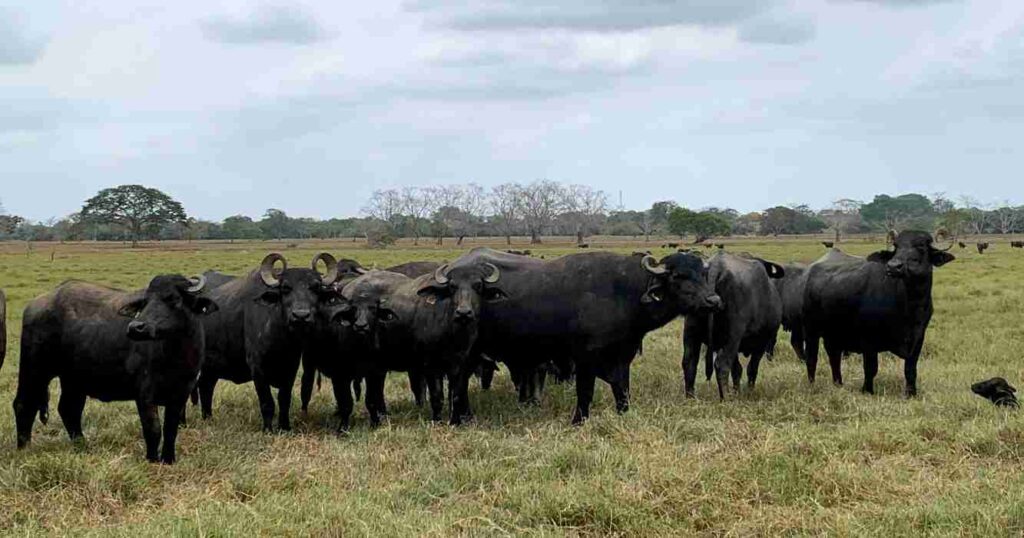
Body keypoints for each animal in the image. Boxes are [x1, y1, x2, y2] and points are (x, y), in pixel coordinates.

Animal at [11, 272, 216, 461]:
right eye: (145, 302)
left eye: (173, 299)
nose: (136, 327)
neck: (175, 355)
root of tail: (37, 304)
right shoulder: (144, 393)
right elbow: (153, 429)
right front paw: (152, 459)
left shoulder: (182, 392)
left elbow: (171, 429)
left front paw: (168, 459)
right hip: (35, 369)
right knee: (24, 404)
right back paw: (24, 449)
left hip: (73, 379)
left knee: (69, 409)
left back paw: (82, 446)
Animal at [196, 253, 344, 432]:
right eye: (286, 288)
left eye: (315, 287)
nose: (301, 315)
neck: (280, 338)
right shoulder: (257, 368)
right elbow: (267, 402)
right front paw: (268, 429)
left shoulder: (291, 367)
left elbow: (284, 399)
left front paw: (285, 426)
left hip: (211, 367)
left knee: (205, 386)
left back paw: (208, 418)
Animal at [448, 247, 720, 424]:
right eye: (678, 275)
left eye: (702, 274)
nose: (713, 300)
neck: (624, 293)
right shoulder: (585, 358)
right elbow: (585, 391)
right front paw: (579, 420)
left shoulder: (622, 356)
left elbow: (622, 389)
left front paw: (623, 413)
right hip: (466, 352)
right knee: (458, 382)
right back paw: (459, 418)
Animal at [688, 250, 782, 395]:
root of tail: (716, 265)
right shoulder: (761, 342)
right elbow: (751, 368)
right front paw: (749, 391)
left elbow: (737, 369)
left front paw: (737, 391)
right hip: (733, 335)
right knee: (722, 365)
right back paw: (726, 397)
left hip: (691, 334)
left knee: (689, 363)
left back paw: (690, 396)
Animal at [802, 230, 954, 393]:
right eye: (896, 246)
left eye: (921, 246)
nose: (893, 266)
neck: (910, 306)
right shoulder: (868, 340)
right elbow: (871, 368)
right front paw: (867, 390)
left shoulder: (918, 338)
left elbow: (910, 369)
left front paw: (911, 393)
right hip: (811, 331)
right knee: (812, 358)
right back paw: (812, 384)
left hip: (833, 333)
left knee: (834, 356)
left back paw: (838, 383)